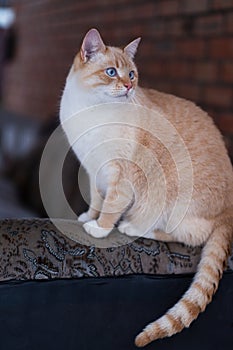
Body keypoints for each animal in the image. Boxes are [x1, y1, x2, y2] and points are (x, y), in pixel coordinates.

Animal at [60, 28, 233, 346]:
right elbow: (96, 200)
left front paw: (99, 228)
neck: (92, 110)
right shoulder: (93, 170)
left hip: (170, 206)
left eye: (132, 74)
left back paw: (134, 228)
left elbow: (111, 207)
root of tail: (229, 210)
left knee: (186, 237)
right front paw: (89, 217)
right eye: (111, 72)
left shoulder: (120, 174)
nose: (129, 86)